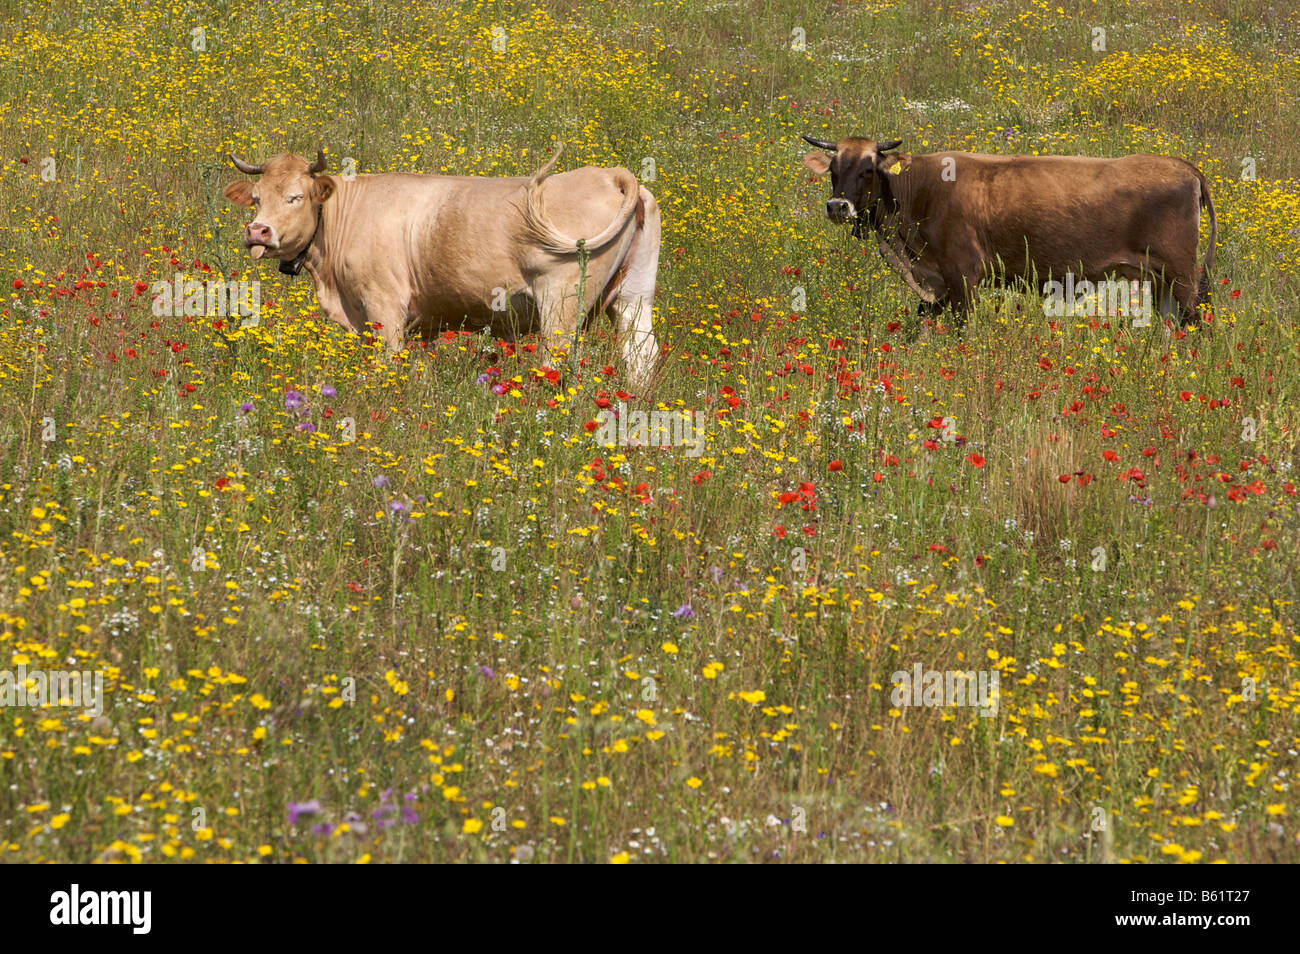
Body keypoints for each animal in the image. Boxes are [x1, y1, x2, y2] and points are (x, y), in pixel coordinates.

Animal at [222, 147, 660, 387]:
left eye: (296, 197)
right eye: (257, 198)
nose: (258, 231)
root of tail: (610, 174)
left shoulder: (384, 307)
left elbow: (386, 364)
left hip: (561, 303)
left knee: (557, 358)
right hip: (635, 295)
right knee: (641, 354)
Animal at [795, 135, 1211, 324]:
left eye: (868, 169)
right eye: (834, 169)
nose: (837, 206)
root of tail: (1182, 165)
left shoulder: (963, 276)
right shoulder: (937, 282)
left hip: (1183, 278)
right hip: (1162, 282)